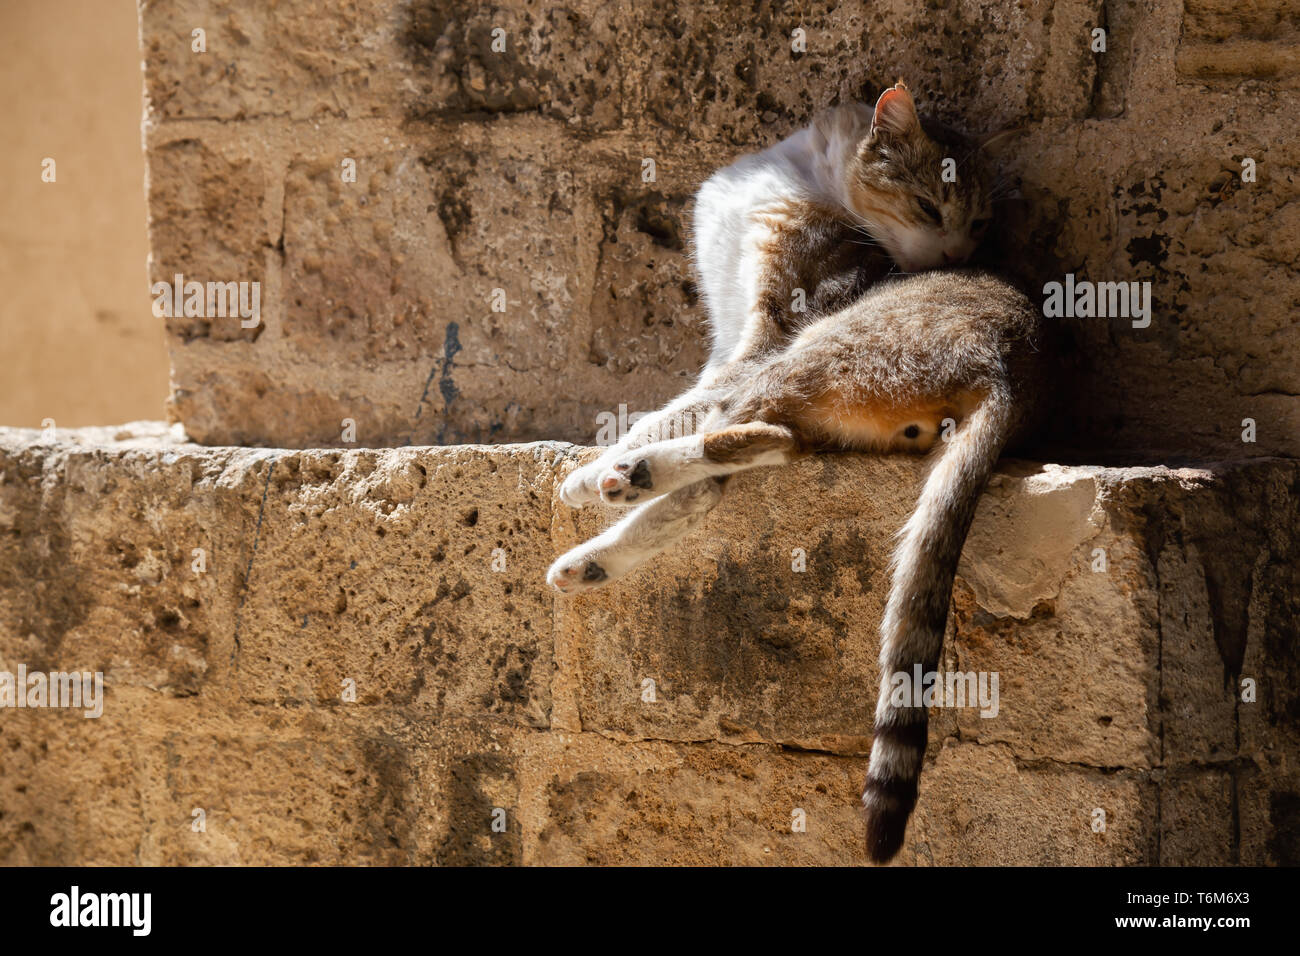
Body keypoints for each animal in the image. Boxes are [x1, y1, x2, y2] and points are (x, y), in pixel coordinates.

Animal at [548, 82, 1045, 863]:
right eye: (931, 206)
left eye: (980, 221)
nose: (959, 253)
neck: (799, 177)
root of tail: (1014, 377)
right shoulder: (727, 335)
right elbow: (690, 422)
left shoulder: (768, 326)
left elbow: (677, 411)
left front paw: (596, 462)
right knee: (756, 452)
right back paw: (593, 559)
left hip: (815, 346)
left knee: (745, 436)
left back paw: (626, 476)